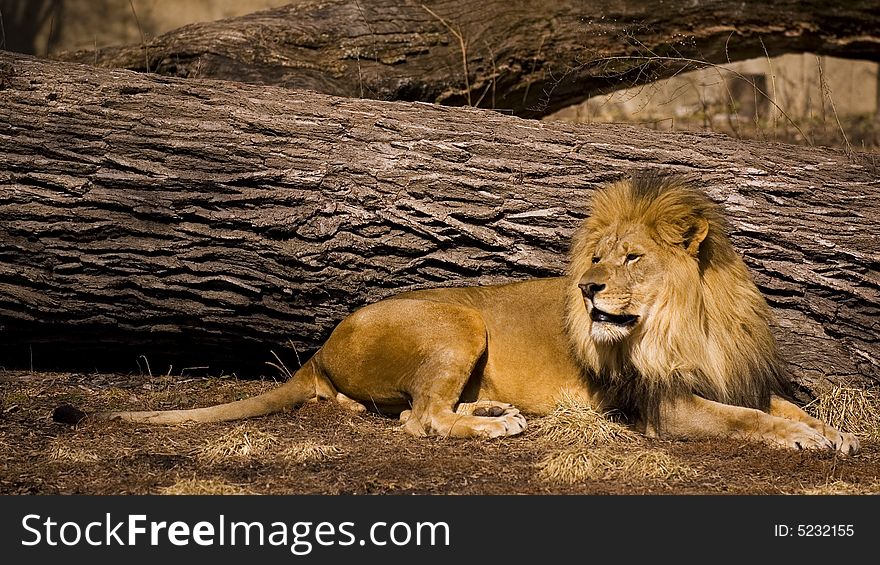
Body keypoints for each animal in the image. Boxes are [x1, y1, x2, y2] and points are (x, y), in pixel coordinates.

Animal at [56, 173, 860, 454]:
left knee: (424, 409)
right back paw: (494, 425)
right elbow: (748, 421)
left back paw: (497, 411)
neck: (688, 320)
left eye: (631, 258)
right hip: (457, 321)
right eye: (597, 257)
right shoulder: (664, 406)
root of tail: (320, 344)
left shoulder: (742, 372)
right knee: (421, 419)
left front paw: (829, 431)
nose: (586, 290)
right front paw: (809, 441)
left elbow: (780, 405)